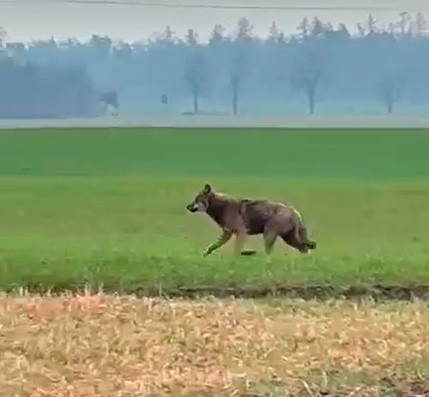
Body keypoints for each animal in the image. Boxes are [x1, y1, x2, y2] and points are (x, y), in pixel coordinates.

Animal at [186, 183, 316, 256]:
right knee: (304, 248)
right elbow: (212, 246)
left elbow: (236, 250)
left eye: (197, 200)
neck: (220, 206)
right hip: (288, 238)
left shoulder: (241, 233)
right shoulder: (227, 233)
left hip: (269, 235)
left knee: (270, 253)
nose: (187, 207)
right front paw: (204, 255)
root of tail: (294, 211)